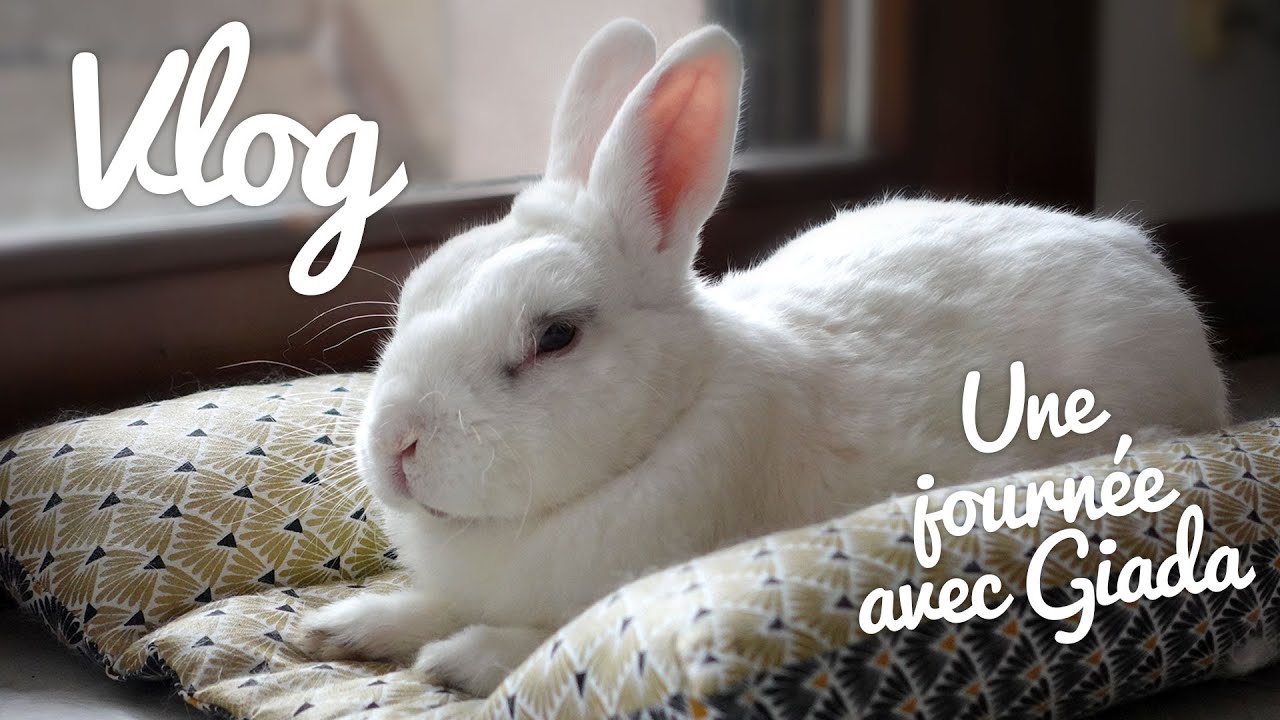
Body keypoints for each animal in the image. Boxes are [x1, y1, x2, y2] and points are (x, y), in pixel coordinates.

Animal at [300, 18, 1228, 696]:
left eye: (554, 336)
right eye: (418, 290)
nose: (396, 446)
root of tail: (1141, 261)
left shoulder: (605, 595)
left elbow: (543, 638)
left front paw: (453, 661)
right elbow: (426, 603)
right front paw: (344, 626)